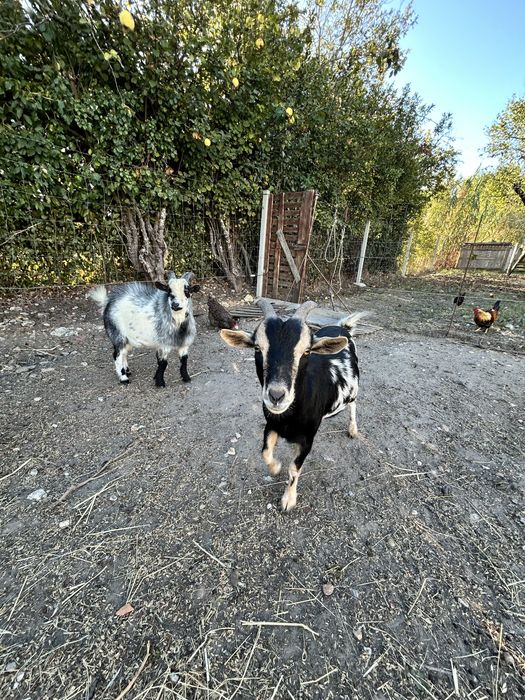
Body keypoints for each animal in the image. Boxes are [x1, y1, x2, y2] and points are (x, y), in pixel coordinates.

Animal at [220, 299, 366, 511]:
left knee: (353, 404)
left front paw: (288, 500)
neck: (289, 417)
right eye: (257, 348)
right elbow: (265, 452)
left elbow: (294, 468)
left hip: (353, 389)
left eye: (306, 351)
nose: (276, 396)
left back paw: (353, 429)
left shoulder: (307, 438)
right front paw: (275, 467)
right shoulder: (271, 424)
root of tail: (342, 328)